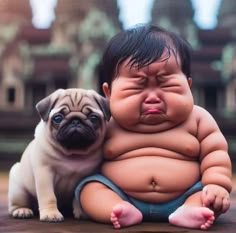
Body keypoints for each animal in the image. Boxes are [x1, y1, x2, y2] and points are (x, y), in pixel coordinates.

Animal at [8, 88, 109, 222]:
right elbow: (49, 196)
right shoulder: (44, 173)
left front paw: (82, 212)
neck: (73, 153)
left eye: (93, 118)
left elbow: (79, 195)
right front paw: (51, 214)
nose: (75, 120)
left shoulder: (87, 175)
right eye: (57, 118)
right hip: (18, 189)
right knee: (16, 204)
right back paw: (22, 210)